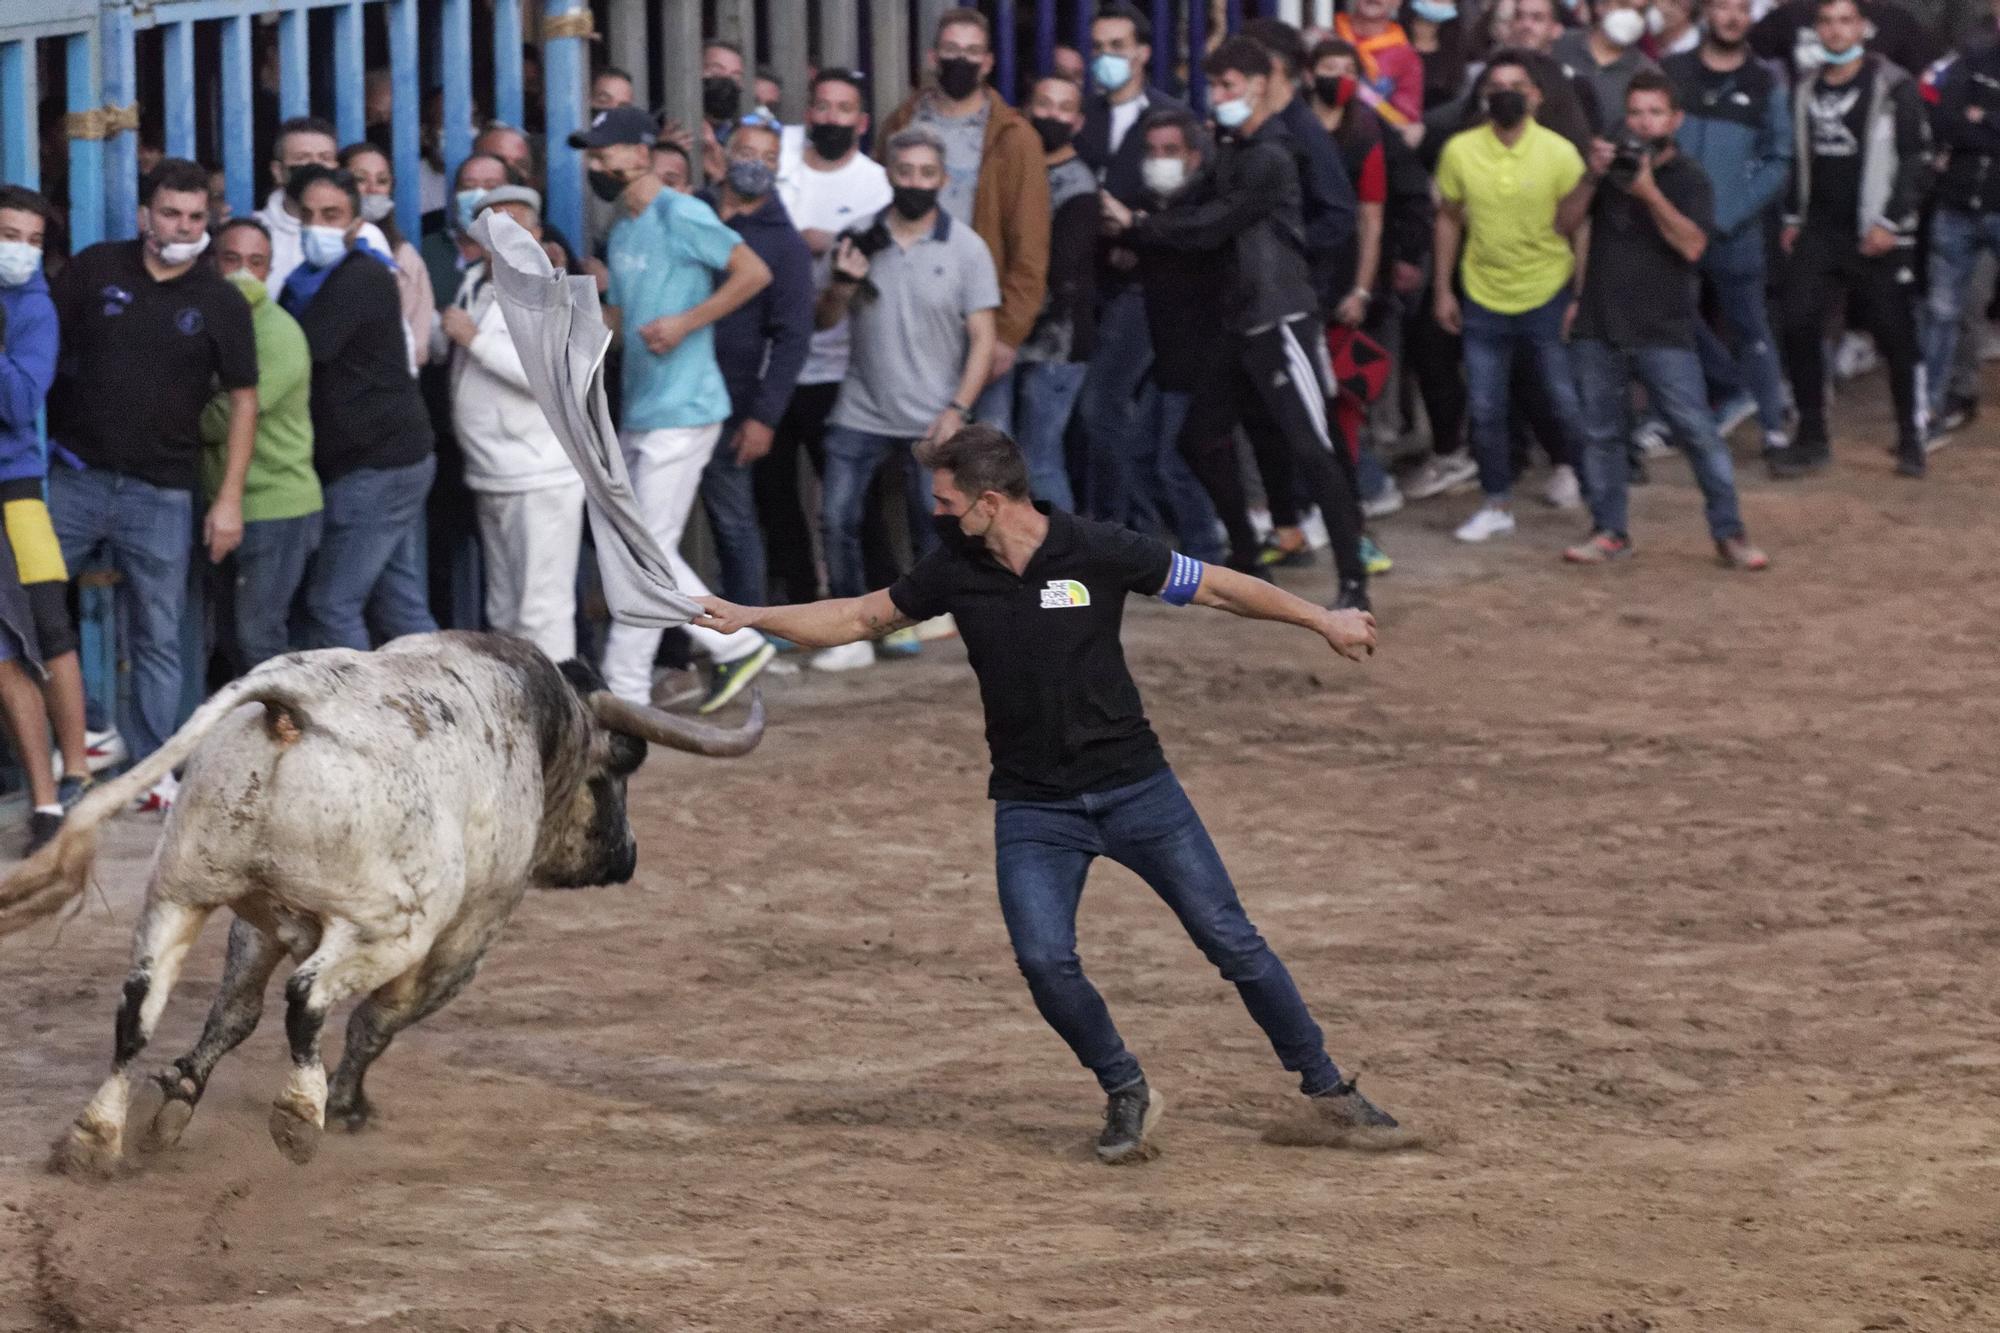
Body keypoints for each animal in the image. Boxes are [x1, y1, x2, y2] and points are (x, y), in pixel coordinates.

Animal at [0, 628, 760, 1168]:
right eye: (616, 776)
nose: (627, 856)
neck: (544, 725)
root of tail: (292, 702)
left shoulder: (256, 922)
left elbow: (233, 1013)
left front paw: (182, 1096)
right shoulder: (465, 939)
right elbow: (378, 1021)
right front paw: (346, 1104)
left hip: (180, 890)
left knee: (139, 1006)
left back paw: (94, 1135)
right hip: (386, 928)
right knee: (309, 998)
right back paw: (301, 1113)